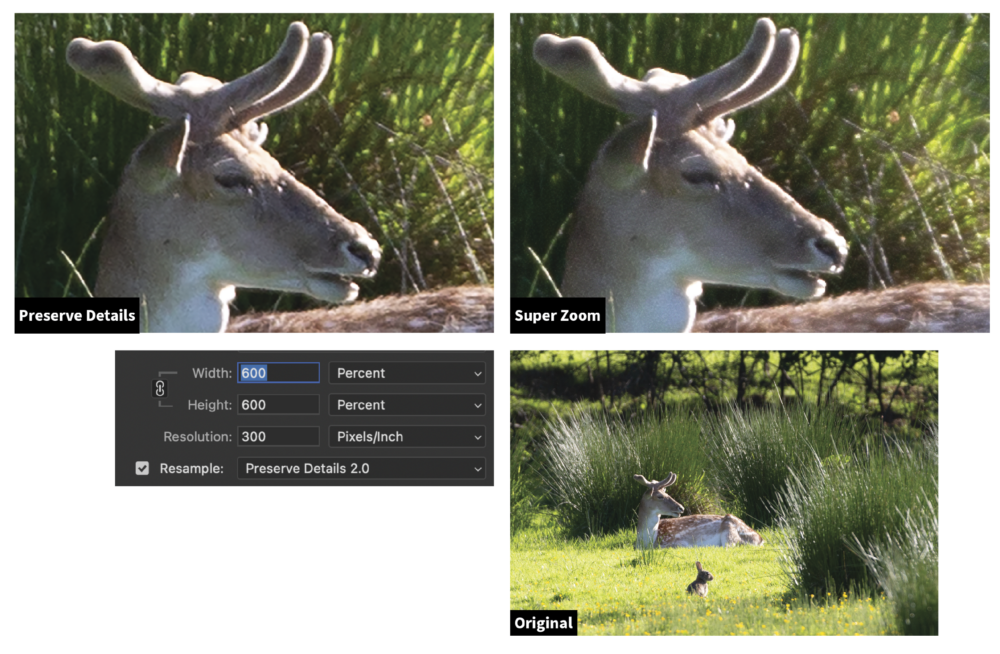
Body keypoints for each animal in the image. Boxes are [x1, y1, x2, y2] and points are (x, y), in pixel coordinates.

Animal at [633, 474, 763, 549]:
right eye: (660, 496)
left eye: (667, 494)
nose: (681, 508)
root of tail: (761, 539)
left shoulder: (677, 542)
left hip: (729, 531)